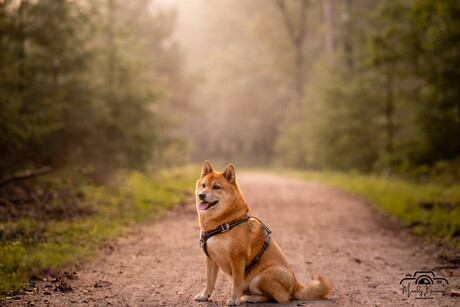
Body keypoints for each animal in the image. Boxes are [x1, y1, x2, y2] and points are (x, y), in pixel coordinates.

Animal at [193, 161, 330, 306]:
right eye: (203, 185)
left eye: (216, 187)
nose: (201, 195)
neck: (224, 223)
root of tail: (296, 285)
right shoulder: (210, 259)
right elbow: (210, 281)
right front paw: (205, 295)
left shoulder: (237, 259)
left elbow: (236, 283)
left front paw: (234, 299)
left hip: (261, 277)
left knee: (279, 296)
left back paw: (252, 298)